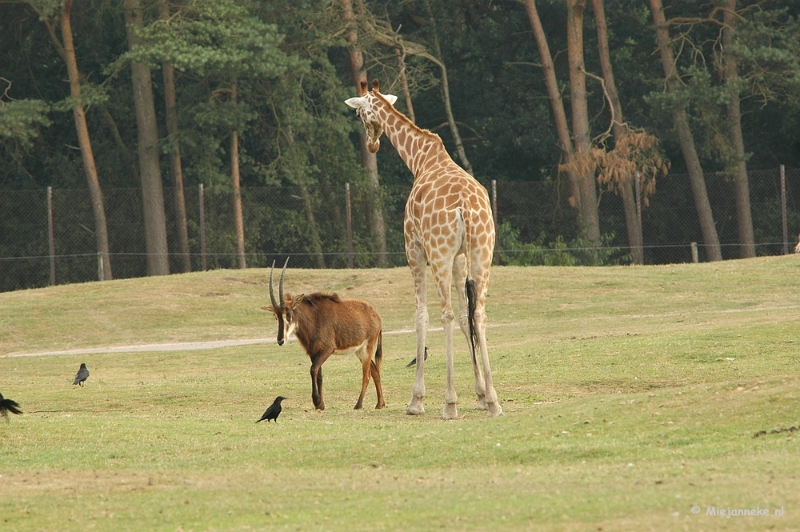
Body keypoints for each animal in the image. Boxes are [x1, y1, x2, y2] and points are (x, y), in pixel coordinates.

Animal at [264, 260, 386, 414]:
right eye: (276, 316)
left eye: (289, 314)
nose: (280, 340)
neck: (314, 318)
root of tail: (377, 316)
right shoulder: (314, 352)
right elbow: (319, 375)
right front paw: (321, 405)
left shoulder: (327, 350)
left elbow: (312, 370)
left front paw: (317, 401)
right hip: (359, 351)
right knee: (375, 371)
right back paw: (380, 404)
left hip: (367, 348)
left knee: (367, 374)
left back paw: (358, 404)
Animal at [344, 80, 500, 420]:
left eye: (361, 114)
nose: (372, 145)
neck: (421, 159)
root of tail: (466, 208)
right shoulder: (459, 257)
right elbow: (467, 316)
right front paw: (481, 395)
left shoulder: (413, 248)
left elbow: (421, 316)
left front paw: (416, 400)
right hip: (483, 252)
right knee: (478, 312)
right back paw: (495, 402)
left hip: (438, 254)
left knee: (446, 314)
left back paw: (449, 404)